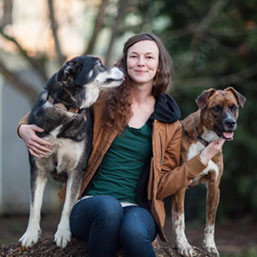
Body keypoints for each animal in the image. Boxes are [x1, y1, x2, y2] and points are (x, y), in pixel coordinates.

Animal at [19, 55, 124, 247]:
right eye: (99, 64)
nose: (123, 69)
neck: (65, 109)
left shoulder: (76, 170)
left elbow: (68, 206)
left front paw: (63, 232)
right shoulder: (38, 168)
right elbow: (34, 206)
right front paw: (30, 234)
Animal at [171, 86, 245, 256]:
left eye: (234, 107)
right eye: (216, 108)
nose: (230, 123)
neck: (206, 142)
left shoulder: (214, 186)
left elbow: (211, 222)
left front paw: (210, 246)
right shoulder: (179, 187)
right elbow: (180, 220)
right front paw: (183, 245)